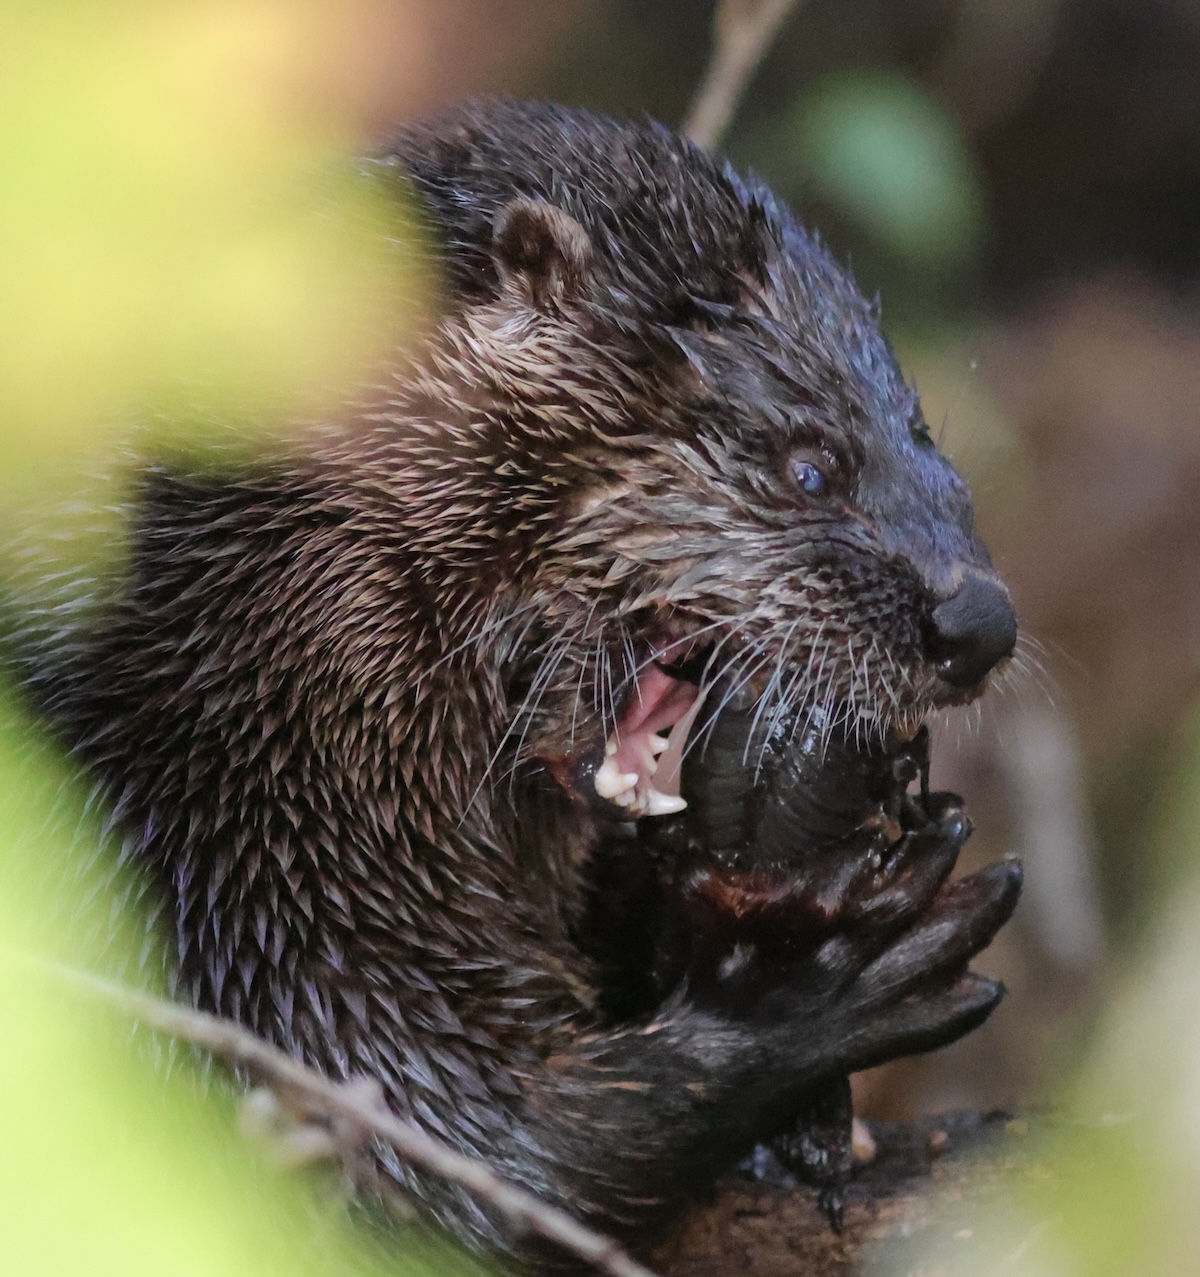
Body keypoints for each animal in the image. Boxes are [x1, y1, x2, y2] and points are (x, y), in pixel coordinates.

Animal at [11, 101, 1022, 1269]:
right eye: (808, 465)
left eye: (929, 440)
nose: (980, 621)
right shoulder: (217, 891)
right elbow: (442, 1155)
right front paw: (807, 983)